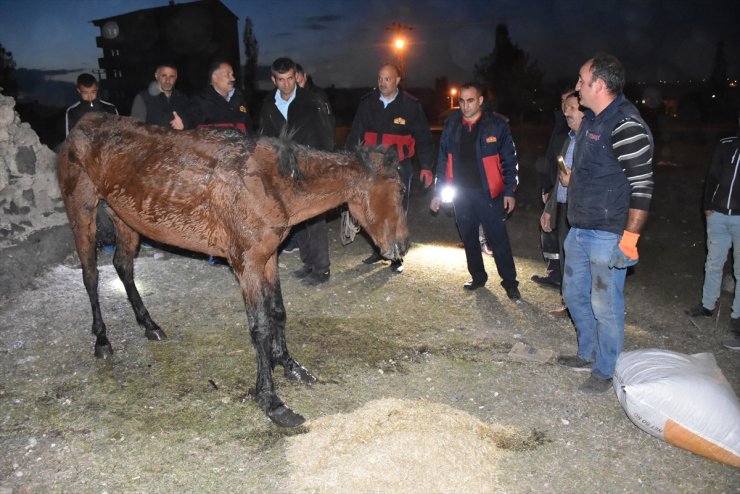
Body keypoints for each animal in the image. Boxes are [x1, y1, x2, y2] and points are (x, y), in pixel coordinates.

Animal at [56, 114, 410, 426]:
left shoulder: (268, 259)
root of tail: (81, 125)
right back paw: (102, 340)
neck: (269, 183)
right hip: (82, 211)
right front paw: (270, 399)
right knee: (91, 276)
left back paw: (149, 324)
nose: (403, 245)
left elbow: (278, 312)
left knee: (124, 267)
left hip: (125, 217)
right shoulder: (247, 266)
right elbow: (260, 328)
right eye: (400, 190)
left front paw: (289, 364)